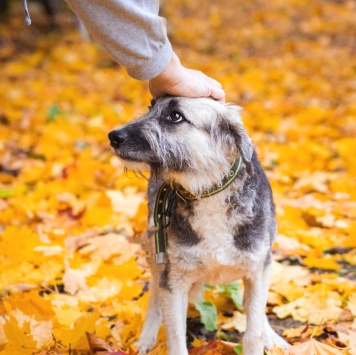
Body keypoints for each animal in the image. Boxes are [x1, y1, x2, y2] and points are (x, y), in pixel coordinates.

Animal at [108, 96, 290, 354]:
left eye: (175, 116)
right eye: (150, 107)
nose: (113, 136)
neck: (206, 191)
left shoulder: (258, 269)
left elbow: (253, 330)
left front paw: (263, 337)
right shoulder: (173, 280)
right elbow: (175, 336)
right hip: (155, 251)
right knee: (154, 296)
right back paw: (146, 339)